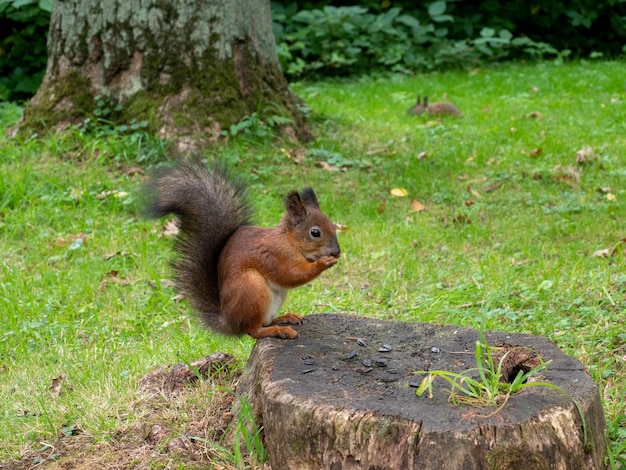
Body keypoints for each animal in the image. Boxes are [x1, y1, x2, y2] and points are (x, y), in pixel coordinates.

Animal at [145, 160, 342, 340]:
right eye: (315, 232)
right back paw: (278, 330)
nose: (337, 252)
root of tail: (228, 321)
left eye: (333, 225)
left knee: (264, 322)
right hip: (251, 288)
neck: (289, 240)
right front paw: (324, 262)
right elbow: (291, 275)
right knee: (253, 330)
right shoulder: (276, 255)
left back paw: (285, 318)